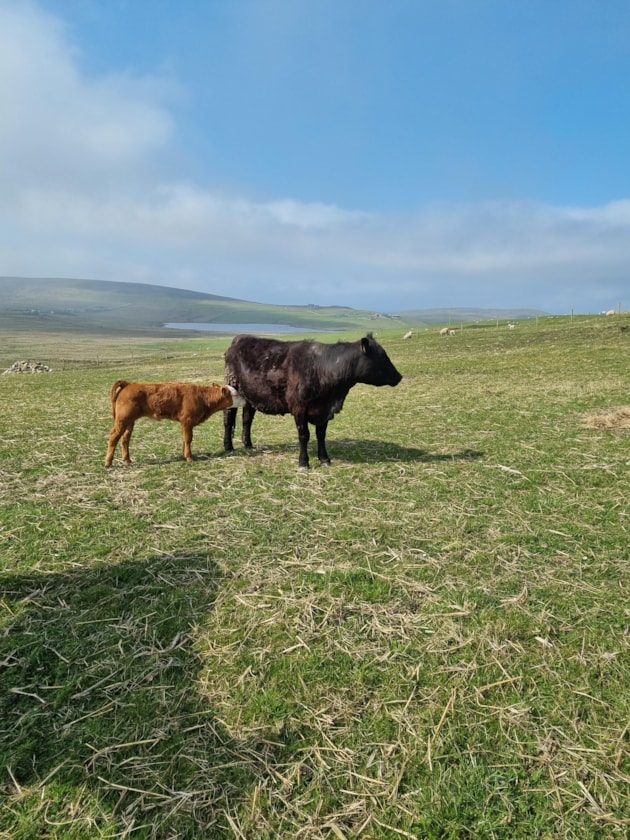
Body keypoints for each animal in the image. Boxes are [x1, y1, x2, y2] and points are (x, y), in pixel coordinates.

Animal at [105, 380, 245, 467]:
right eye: (236, 394)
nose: (246, 400)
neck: (202, 397)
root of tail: (129, 384)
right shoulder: (187, 420)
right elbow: (188, 439)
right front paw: (189, 457)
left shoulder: (184, 423)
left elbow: (184, 439)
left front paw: (185, 454)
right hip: (122, 420)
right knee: (114, 437)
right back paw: (108, 462)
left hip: (129, 422)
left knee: (125, 439)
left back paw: (127, 460)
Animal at [223, 333, 402, 468]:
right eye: (382, 357)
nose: (399, 376)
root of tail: (240, 338)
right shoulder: (299, 408)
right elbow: (304, 435)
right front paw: (304, 462)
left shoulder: (324, 410)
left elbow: (321, 435)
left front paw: (325, 459)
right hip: (231, 387)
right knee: (229, 417)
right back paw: (228, 446)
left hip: (250, 395)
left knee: (247, 418)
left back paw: (248, 443)